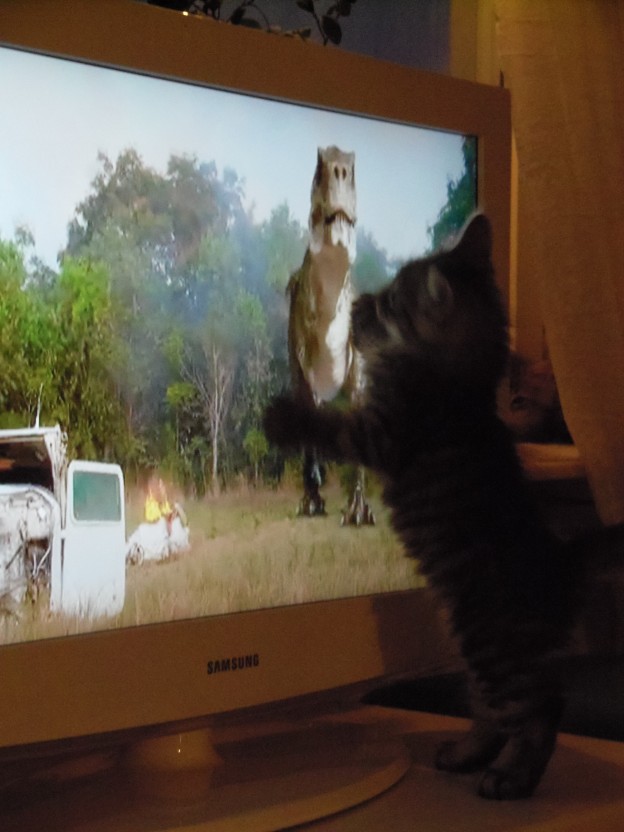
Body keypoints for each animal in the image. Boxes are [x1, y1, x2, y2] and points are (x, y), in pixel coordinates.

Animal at [264, 214, 624, 800]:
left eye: (389, 304)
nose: (361, 301)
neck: (461, 383)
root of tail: (561, 564)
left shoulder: (382, 434)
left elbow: (330, 425)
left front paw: (283, 418)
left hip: (490, 639)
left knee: (540, 710)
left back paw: (510, 777)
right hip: (475, 647)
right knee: (495, 711)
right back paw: (464, 754)